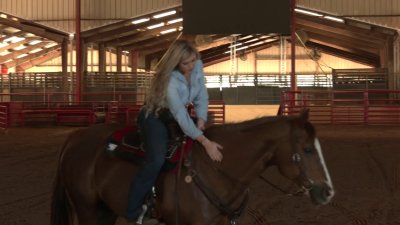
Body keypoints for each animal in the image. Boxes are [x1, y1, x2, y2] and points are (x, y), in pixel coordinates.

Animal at [51, 110, 336, 225]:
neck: (217, 168)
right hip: (87, 209)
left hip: (105, 211)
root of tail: (75, 136)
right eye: (307, 149)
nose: (328, 192)